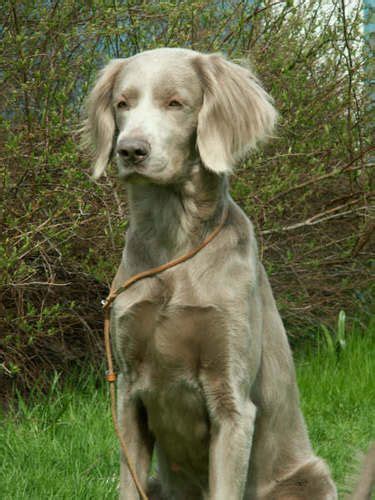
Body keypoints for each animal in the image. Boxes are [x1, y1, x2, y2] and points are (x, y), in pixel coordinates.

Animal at [81, 47, 338, 500]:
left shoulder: (232, 401)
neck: (175, 245)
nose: (130, 150)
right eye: (122, 103)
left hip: (314, 475)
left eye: (175, 103)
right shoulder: (127, 393)